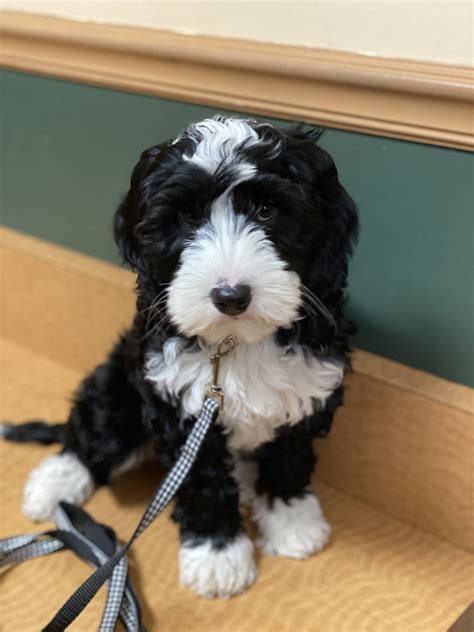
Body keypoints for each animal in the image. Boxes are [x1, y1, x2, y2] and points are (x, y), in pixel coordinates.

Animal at [14, 117, 358, 596]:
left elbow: (289, 456)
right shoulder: (176, 397)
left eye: (266, 212)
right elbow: (203, 479)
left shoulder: (310, 384)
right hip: (122, 384)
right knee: (93, 431)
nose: (231, 296)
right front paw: (218, 554)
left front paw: (290, 520)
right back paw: (54, 484)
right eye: (188, 217)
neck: (235, 343)